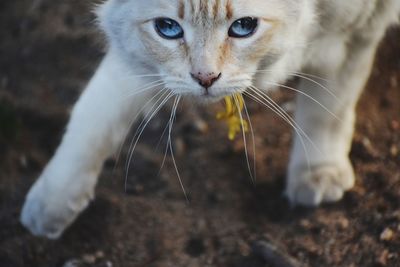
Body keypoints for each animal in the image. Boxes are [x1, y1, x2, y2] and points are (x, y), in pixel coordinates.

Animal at [19, 0, 400, 239]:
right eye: (167, 29)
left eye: (244, 27)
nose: (205, 78)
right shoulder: (135, 58)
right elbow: (93, 118)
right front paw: (50, 206)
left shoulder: (357, 33)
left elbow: (328, 109)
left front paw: (317, 174)